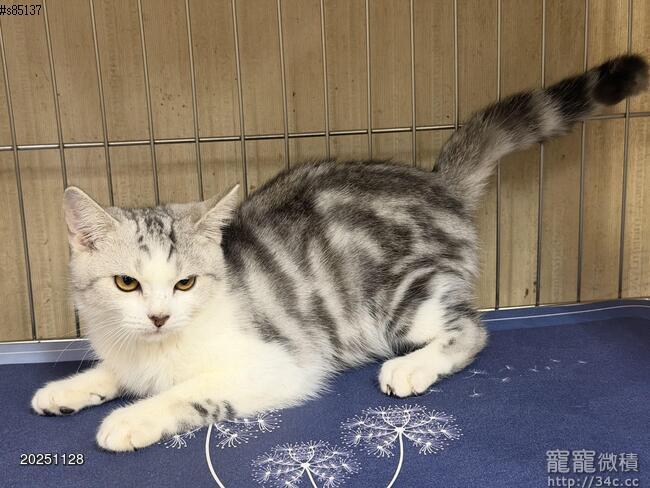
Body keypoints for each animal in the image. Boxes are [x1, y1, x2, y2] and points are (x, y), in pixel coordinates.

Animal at [32, 54, 647, 451]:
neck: (158, 348)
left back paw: (413, 367)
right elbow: (118, 369)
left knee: (471, 329)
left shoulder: (280, 364)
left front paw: (132, 419)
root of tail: (436, 183)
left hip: (398, 296)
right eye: (126, 283)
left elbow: (190, 391)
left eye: (186, 283)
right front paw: (71, 388)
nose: (159, 316)